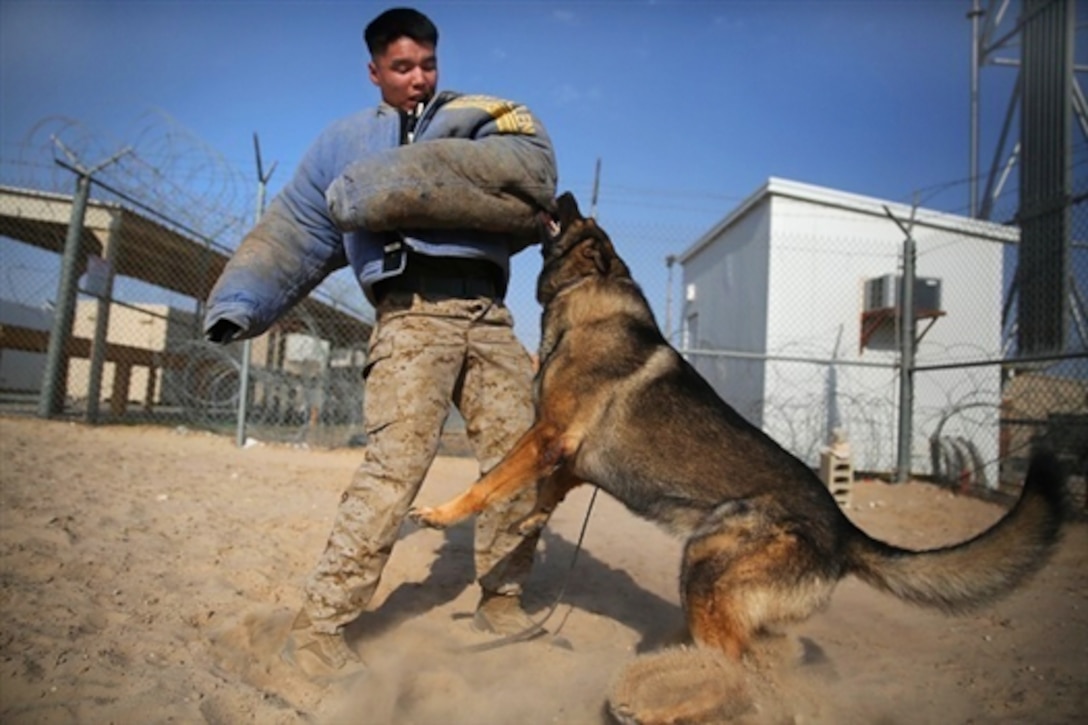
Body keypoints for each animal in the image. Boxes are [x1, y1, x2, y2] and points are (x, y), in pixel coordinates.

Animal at [409, 189, 1070, 657]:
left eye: (581, 220)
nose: (565, 191)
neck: (588, 298)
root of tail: (844, 531)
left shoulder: (548, 437)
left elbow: (488, 481)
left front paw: (441, 514)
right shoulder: (568, 458)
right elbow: (538, 498)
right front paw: (524, 529)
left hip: (706, 563)